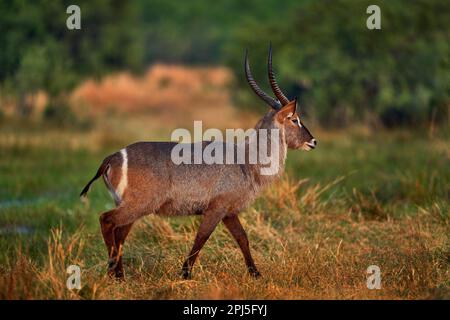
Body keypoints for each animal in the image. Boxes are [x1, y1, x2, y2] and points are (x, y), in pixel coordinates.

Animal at [79, 45, 316, 280]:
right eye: (295, 119)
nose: (313, 141)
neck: (247, 160)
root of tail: (113, 156)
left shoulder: (229, 212)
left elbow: (242, 238)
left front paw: (255, 273)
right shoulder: (217, 208)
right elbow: (201, 239)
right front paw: (185, 273)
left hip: (130, 206)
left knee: (119, 233)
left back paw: (119, 274)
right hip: (139, 205)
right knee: (107, 220)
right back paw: (113, 272)